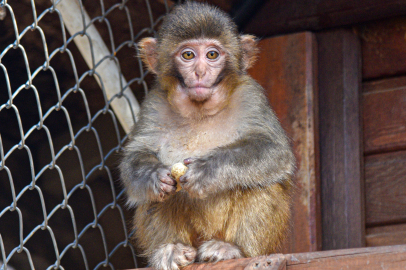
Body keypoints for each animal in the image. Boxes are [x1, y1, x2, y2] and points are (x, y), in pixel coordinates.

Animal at [119, 2, 294, 270]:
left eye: (212, 55)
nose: (200, 72)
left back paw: (232, 249)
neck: (200, 110)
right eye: (188, 55)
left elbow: (274, 150)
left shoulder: (250, 95)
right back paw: (171, 249)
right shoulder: (154, 103)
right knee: (156, 198)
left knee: (259, 183)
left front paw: (207, 170)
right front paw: (153, 175)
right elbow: (136, 155)